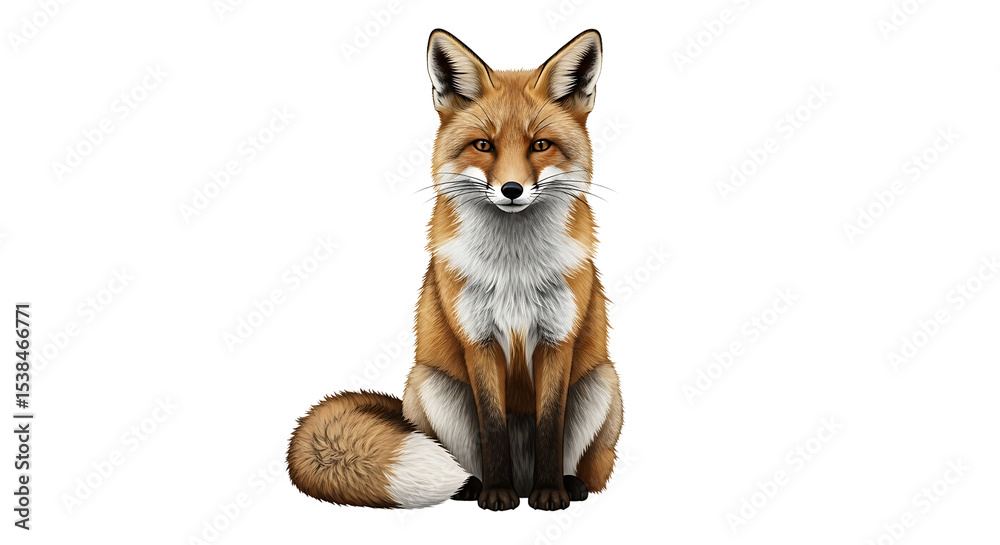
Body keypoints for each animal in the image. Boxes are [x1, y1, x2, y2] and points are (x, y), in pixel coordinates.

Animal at [287, 28, 622, 511]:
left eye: (540, 145)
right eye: (484, 145)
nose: (512, 189)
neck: (514, 269)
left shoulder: (558, 340)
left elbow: (549, 426)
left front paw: (550, 493)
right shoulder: (476, 340)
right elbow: (493, 427)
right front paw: (498, 494)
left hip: (602, 380)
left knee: (589, 466)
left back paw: (566, 483)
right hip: (430, 384)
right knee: (465, 457)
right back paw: (476, 487)